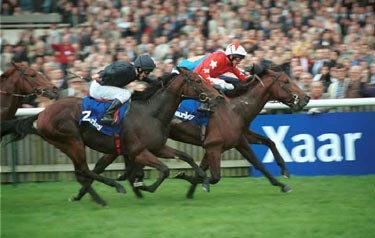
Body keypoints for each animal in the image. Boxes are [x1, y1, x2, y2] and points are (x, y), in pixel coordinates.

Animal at [2, 67, 222, 205]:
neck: (151, 113)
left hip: (69, 144)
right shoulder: (138, 152)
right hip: (72, 141)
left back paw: (95, 197)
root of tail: (42, 113)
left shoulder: (158, 147)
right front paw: (144, 186)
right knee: (84, 170)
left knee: (82, 172)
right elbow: (165, 170)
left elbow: (185, 156)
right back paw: (113, 187)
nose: (217, 96)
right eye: (197, 80)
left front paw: (201, 179)